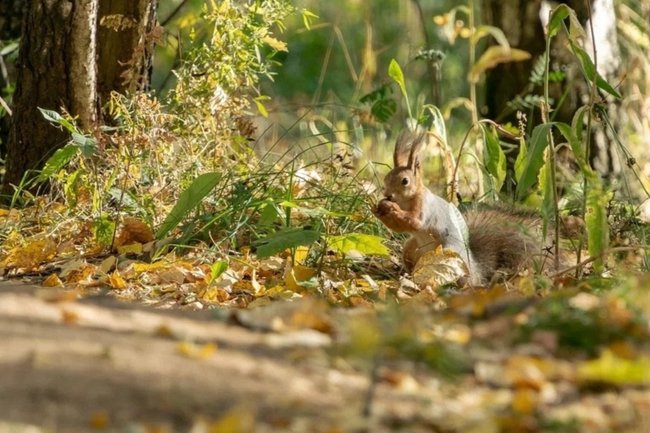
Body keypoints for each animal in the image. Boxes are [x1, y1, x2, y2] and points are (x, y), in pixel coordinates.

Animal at [372, 130, 556, 286]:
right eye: (387, 178)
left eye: (405, 181)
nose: (387, 195)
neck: (406, 201)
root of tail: (475, 271)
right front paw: (378, 209)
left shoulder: (424, 206)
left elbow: (414, 221)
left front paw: (391, 209)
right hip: (410, 249)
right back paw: (408, 275)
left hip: (449, 253)